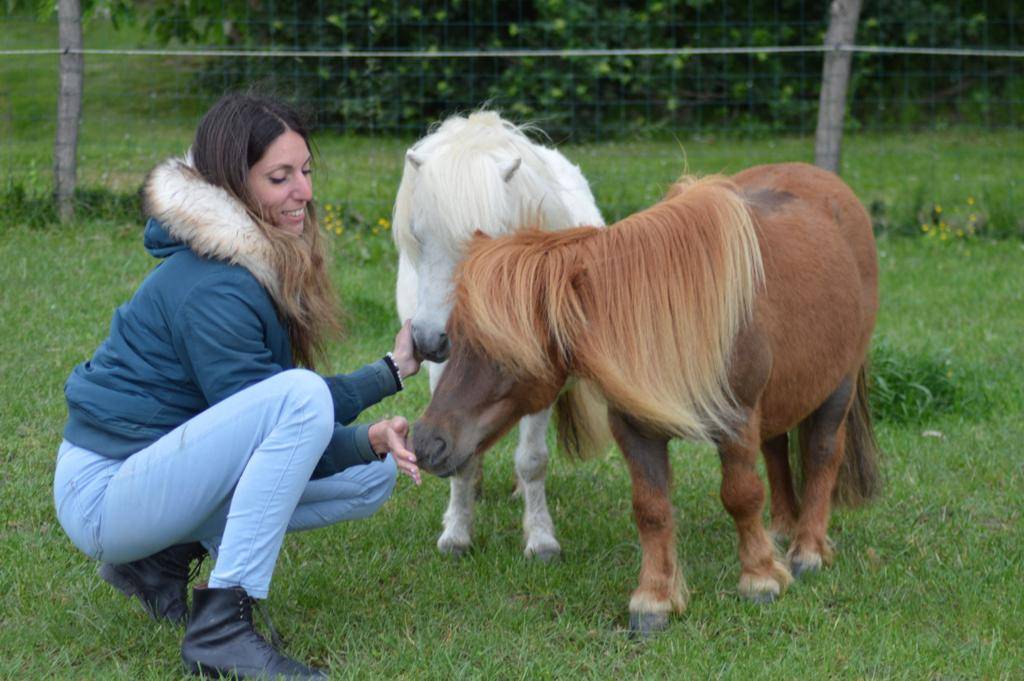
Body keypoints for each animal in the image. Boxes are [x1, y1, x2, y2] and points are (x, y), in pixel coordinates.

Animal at [392, 110, 605, 561]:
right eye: (418, 235)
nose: (428, 340)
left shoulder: (542, 373)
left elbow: (532, 459)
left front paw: (541, 539)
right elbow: (459, 451)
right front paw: (457, 532)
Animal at [412, 162, 882, 634]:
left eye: (505, 351)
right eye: (454, 338)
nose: (426, 442)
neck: (670, 318)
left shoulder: (736, 421)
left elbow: (741, 495)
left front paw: (760, 579)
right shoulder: (636, 430)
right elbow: (651, 509)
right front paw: (654, 599)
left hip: (836, 386)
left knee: (822, 454)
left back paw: (807, 550)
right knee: (777, 450)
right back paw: (783, 529)